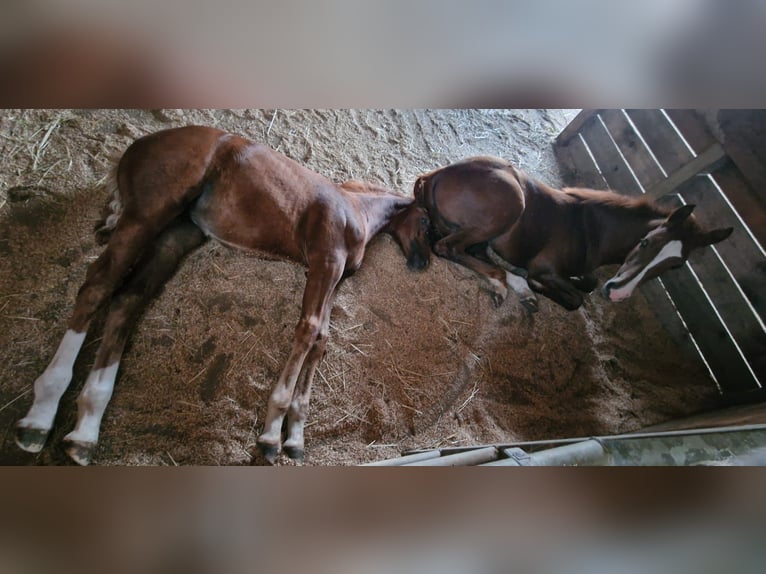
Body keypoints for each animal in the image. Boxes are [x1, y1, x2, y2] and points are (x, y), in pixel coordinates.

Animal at [15, 126, 432, 468]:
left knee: (126, 299)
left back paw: (85, 430)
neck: (356, 210)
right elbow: (309, 330)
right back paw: (40, 417)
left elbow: (322, 340)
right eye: (428, 221)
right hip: (146, 214)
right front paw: (272, 434)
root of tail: (136, 147)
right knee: (98, 285)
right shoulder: (324, 264)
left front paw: (295, 440)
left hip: (174, 236)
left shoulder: (332, 278)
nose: (423, 263)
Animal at [404, 156, 736, 310]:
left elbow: (587, 283)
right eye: (645, 242)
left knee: (472, 250)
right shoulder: (546, 269)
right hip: (507, 206)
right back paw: (506, 286)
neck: (595, 231)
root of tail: (435, 175)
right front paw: (537, 286)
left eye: (675, 266)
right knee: (448, 248)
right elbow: (576, 298)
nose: (618, 294)